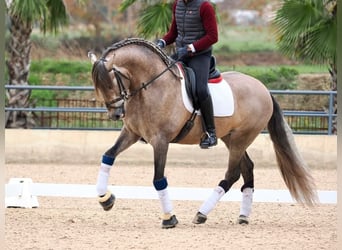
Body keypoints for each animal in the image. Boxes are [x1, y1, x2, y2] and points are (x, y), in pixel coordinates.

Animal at [89, 37, 318, 229]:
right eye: (98, 85)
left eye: (111, 81)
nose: (116, 114)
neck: (151, 86)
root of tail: (263, 89)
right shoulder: (131, 133)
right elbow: (108, 156)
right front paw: (105, 199)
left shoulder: (161, 141)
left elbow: (158, 178)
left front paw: (169, 218)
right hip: (230, 138)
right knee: (247, 169)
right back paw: (243, 216)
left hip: (241, 138)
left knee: (232, 174)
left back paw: (201, 213)